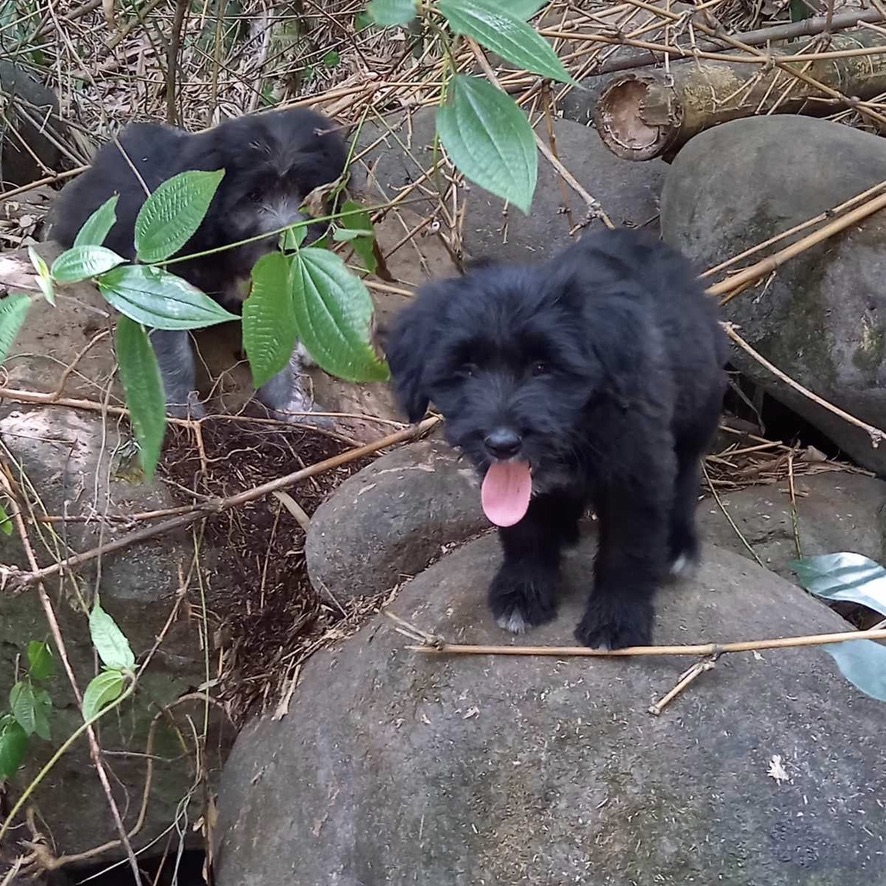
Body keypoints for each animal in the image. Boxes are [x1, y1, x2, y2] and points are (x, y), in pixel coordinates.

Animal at [386, 229, 728, 652]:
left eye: (542, 367)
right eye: (466, 369)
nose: (502, 443)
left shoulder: (638, 475)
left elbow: (628, 549)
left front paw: (617, 617)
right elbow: (524, 532)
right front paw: (522, 592)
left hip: (697, 412)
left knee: (684, 477)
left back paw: (679, 544)